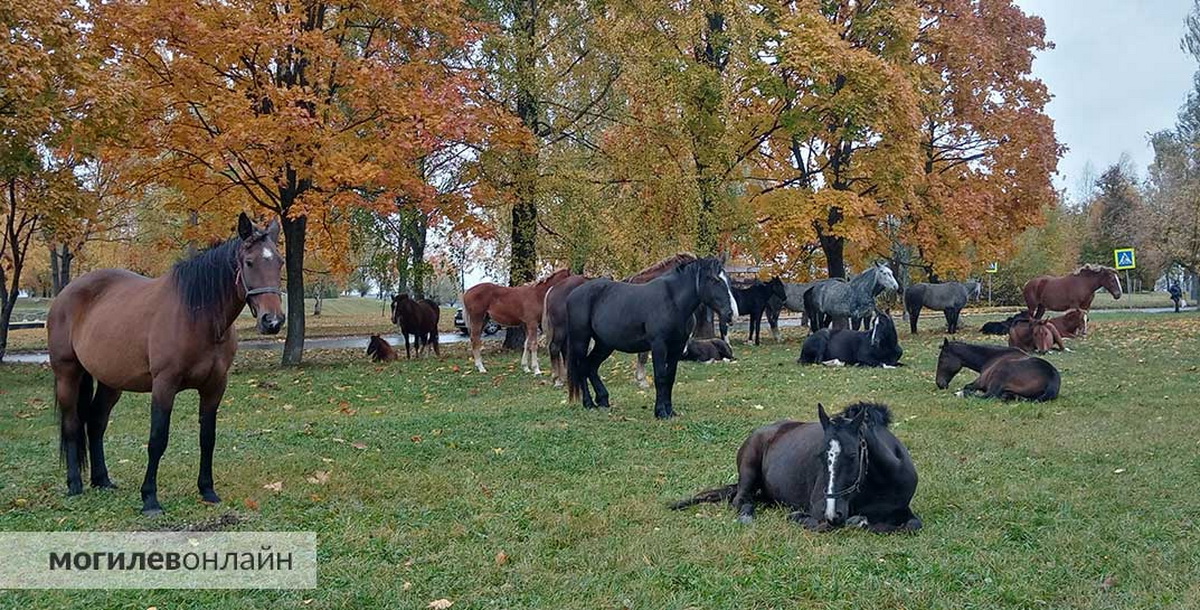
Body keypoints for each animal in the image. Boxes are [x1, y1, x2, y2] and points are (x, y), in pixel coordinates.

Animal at [46, 214, 285, 513]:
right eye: (250, 262)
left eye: (279, 262)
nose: (272, 321)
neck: (197, 316)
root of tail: (66, 293)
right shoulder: (164, 385)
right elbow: (157, 440)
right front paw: (150, 498)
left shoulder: (215, 386)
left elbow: (208, 438)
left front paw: (207, 490)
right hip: (67, 374)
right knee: (71, 425)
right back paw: (75, 484)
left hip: (111, 382)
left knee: (96, 422)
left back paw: (102, 480)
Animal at [566, 256, 734, 420]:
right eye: (714, 280)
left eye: (727, 280)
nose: (730, 314)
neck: (673, 301)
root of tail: (573, 294)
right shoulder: (659, 346)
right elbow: (660, 377)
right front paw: (660, 412)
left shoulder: (677, 347)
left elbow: (670, 378)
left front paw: (670, 411)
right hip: (581, 340)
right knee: (582, 367)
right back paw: (588, 403)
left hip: (604, 344)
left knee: (591, 367)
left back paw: (603, 400)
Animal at [676, 403, 916, 530]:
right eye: (819, 455)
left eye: (852, 455)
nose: (831, 512)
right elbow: (824, 524)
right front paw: (799, 517)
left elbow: (912, 525)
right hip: (748, 470)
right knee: (741, 499)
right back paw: (747, 515)